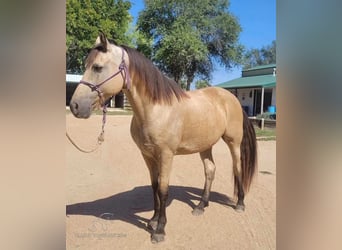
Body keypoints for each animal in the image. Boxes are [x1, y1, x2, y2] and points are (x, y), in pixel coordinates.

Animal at [69, 32, 256, 243]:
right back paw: (201, 206)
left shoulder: (166, 155)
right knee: (210, 171)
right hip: (205, 146)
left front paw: (159, 230)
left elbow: (163, 189)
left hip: (234, 142)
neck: (156, 109)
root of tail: (231, 98)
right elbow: (155, 186)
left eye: (97, 67)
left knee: (237, 168)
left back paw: (240, 203)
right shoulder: (147, 155)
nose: (75, 106)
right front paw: (153, 220)